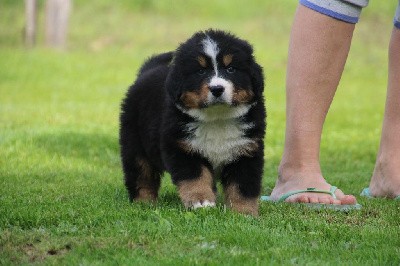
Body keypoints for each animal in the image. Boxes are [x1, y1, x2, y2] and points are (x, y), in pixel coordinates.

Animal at [122, 29, 266, 216]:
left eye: (231, 69)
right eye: (200, 72)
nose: (217, 89)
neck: (217, 119)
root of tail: (147, 72)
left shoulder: (246, 150)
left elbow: (243, 186)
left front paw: (243, 212)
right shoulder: (182, 147)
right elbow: (196, 177)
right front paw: (201, 201)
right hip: (135, 143)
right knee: (141, 174)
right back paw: (143, 204)